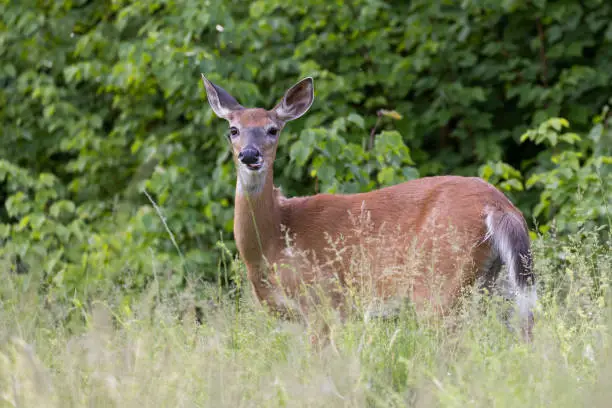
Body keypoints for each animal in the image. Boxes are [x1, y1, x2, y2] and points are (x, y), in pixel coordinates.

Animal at [200, 74, 536, 342]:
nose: (249, 155)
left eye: (272, 130)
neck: (275, 239)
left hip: (438, 281)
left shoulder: (322, 303)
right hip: (486, 283)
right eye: (233, 129)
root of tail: (500, 205)